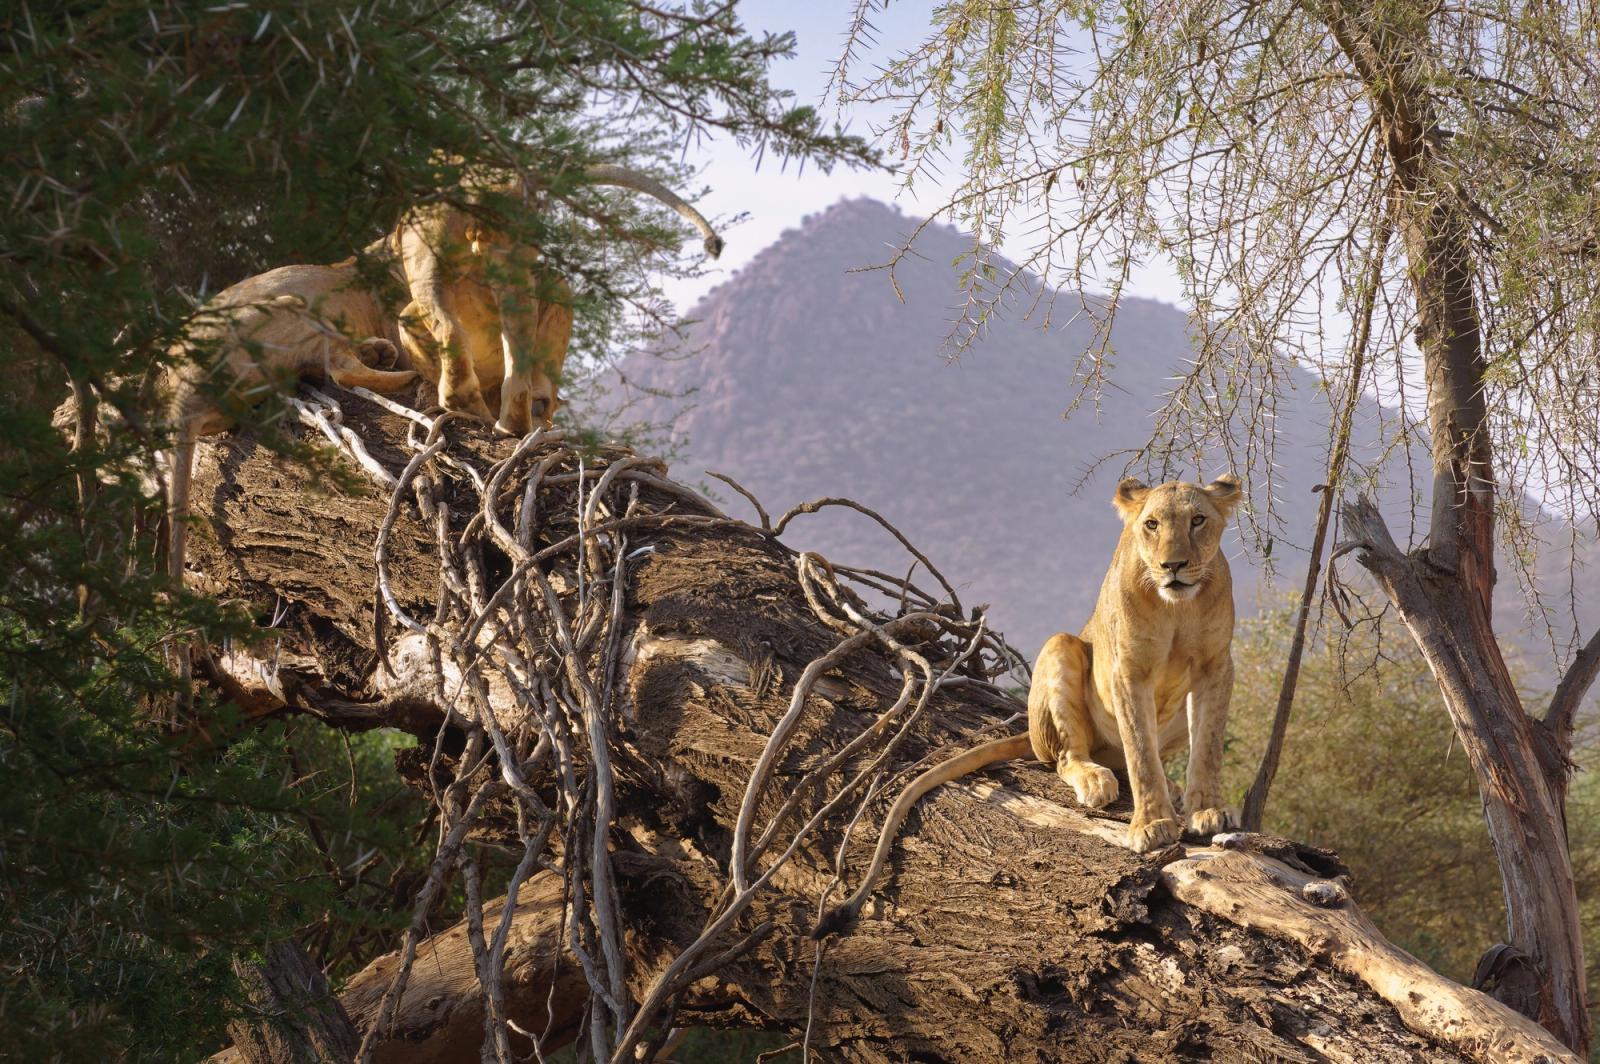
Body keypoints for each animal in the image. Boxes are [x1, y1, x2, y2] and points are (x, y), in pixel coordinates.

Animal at [813, 473, 1243, 937]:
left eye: (1198, 520)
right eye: (1152, 524)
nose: (1173, 566)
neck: (1176, 607)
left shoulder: (1217, 665)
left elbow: (1207, 747)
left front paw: (1207, 811)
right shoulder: (1128, 670)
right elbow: (1141, 756)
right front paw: (1150, 825)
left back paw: (1173, 790)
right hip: (1062, 646)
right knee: (1068, 757)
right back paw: (1096, 780)